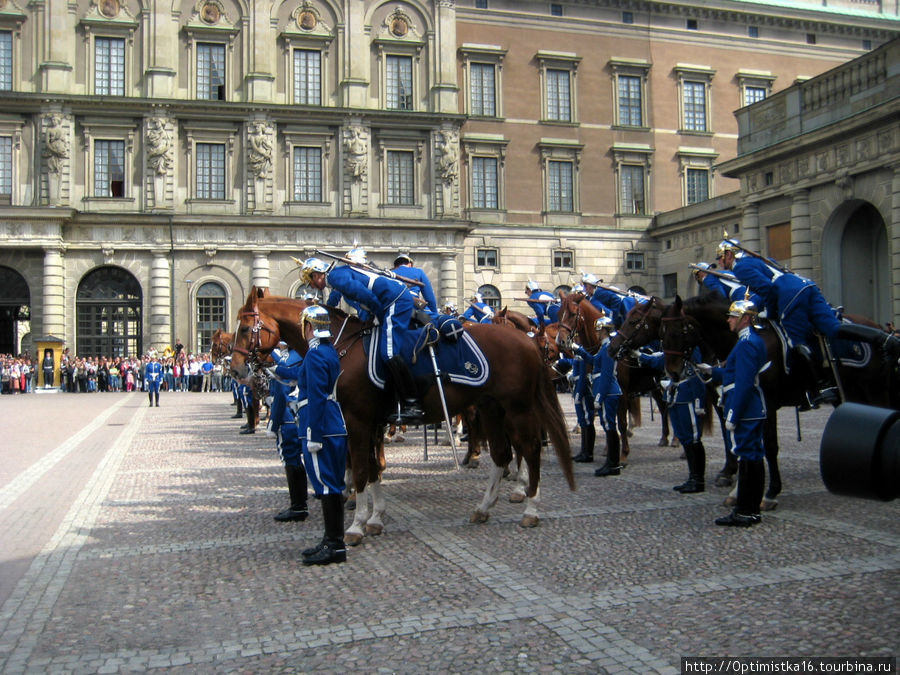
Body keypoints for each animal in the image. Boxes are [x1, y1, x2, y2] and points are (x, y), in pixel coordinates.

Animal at [229, 288, 572, 548]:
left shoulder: (356, 421)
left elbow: (361, 470)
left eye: (245, 329)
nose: (235, 370)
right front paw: (375, 518)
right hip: (491, 409)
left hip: (518, 409)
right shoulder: (372, 422)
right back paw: (484, 507)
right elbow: (374, 469)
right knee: (501, 454)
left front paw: (355, 526)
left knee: (529, 449)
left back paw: (530, 507)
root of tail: (526, 341)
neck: (341, 345)